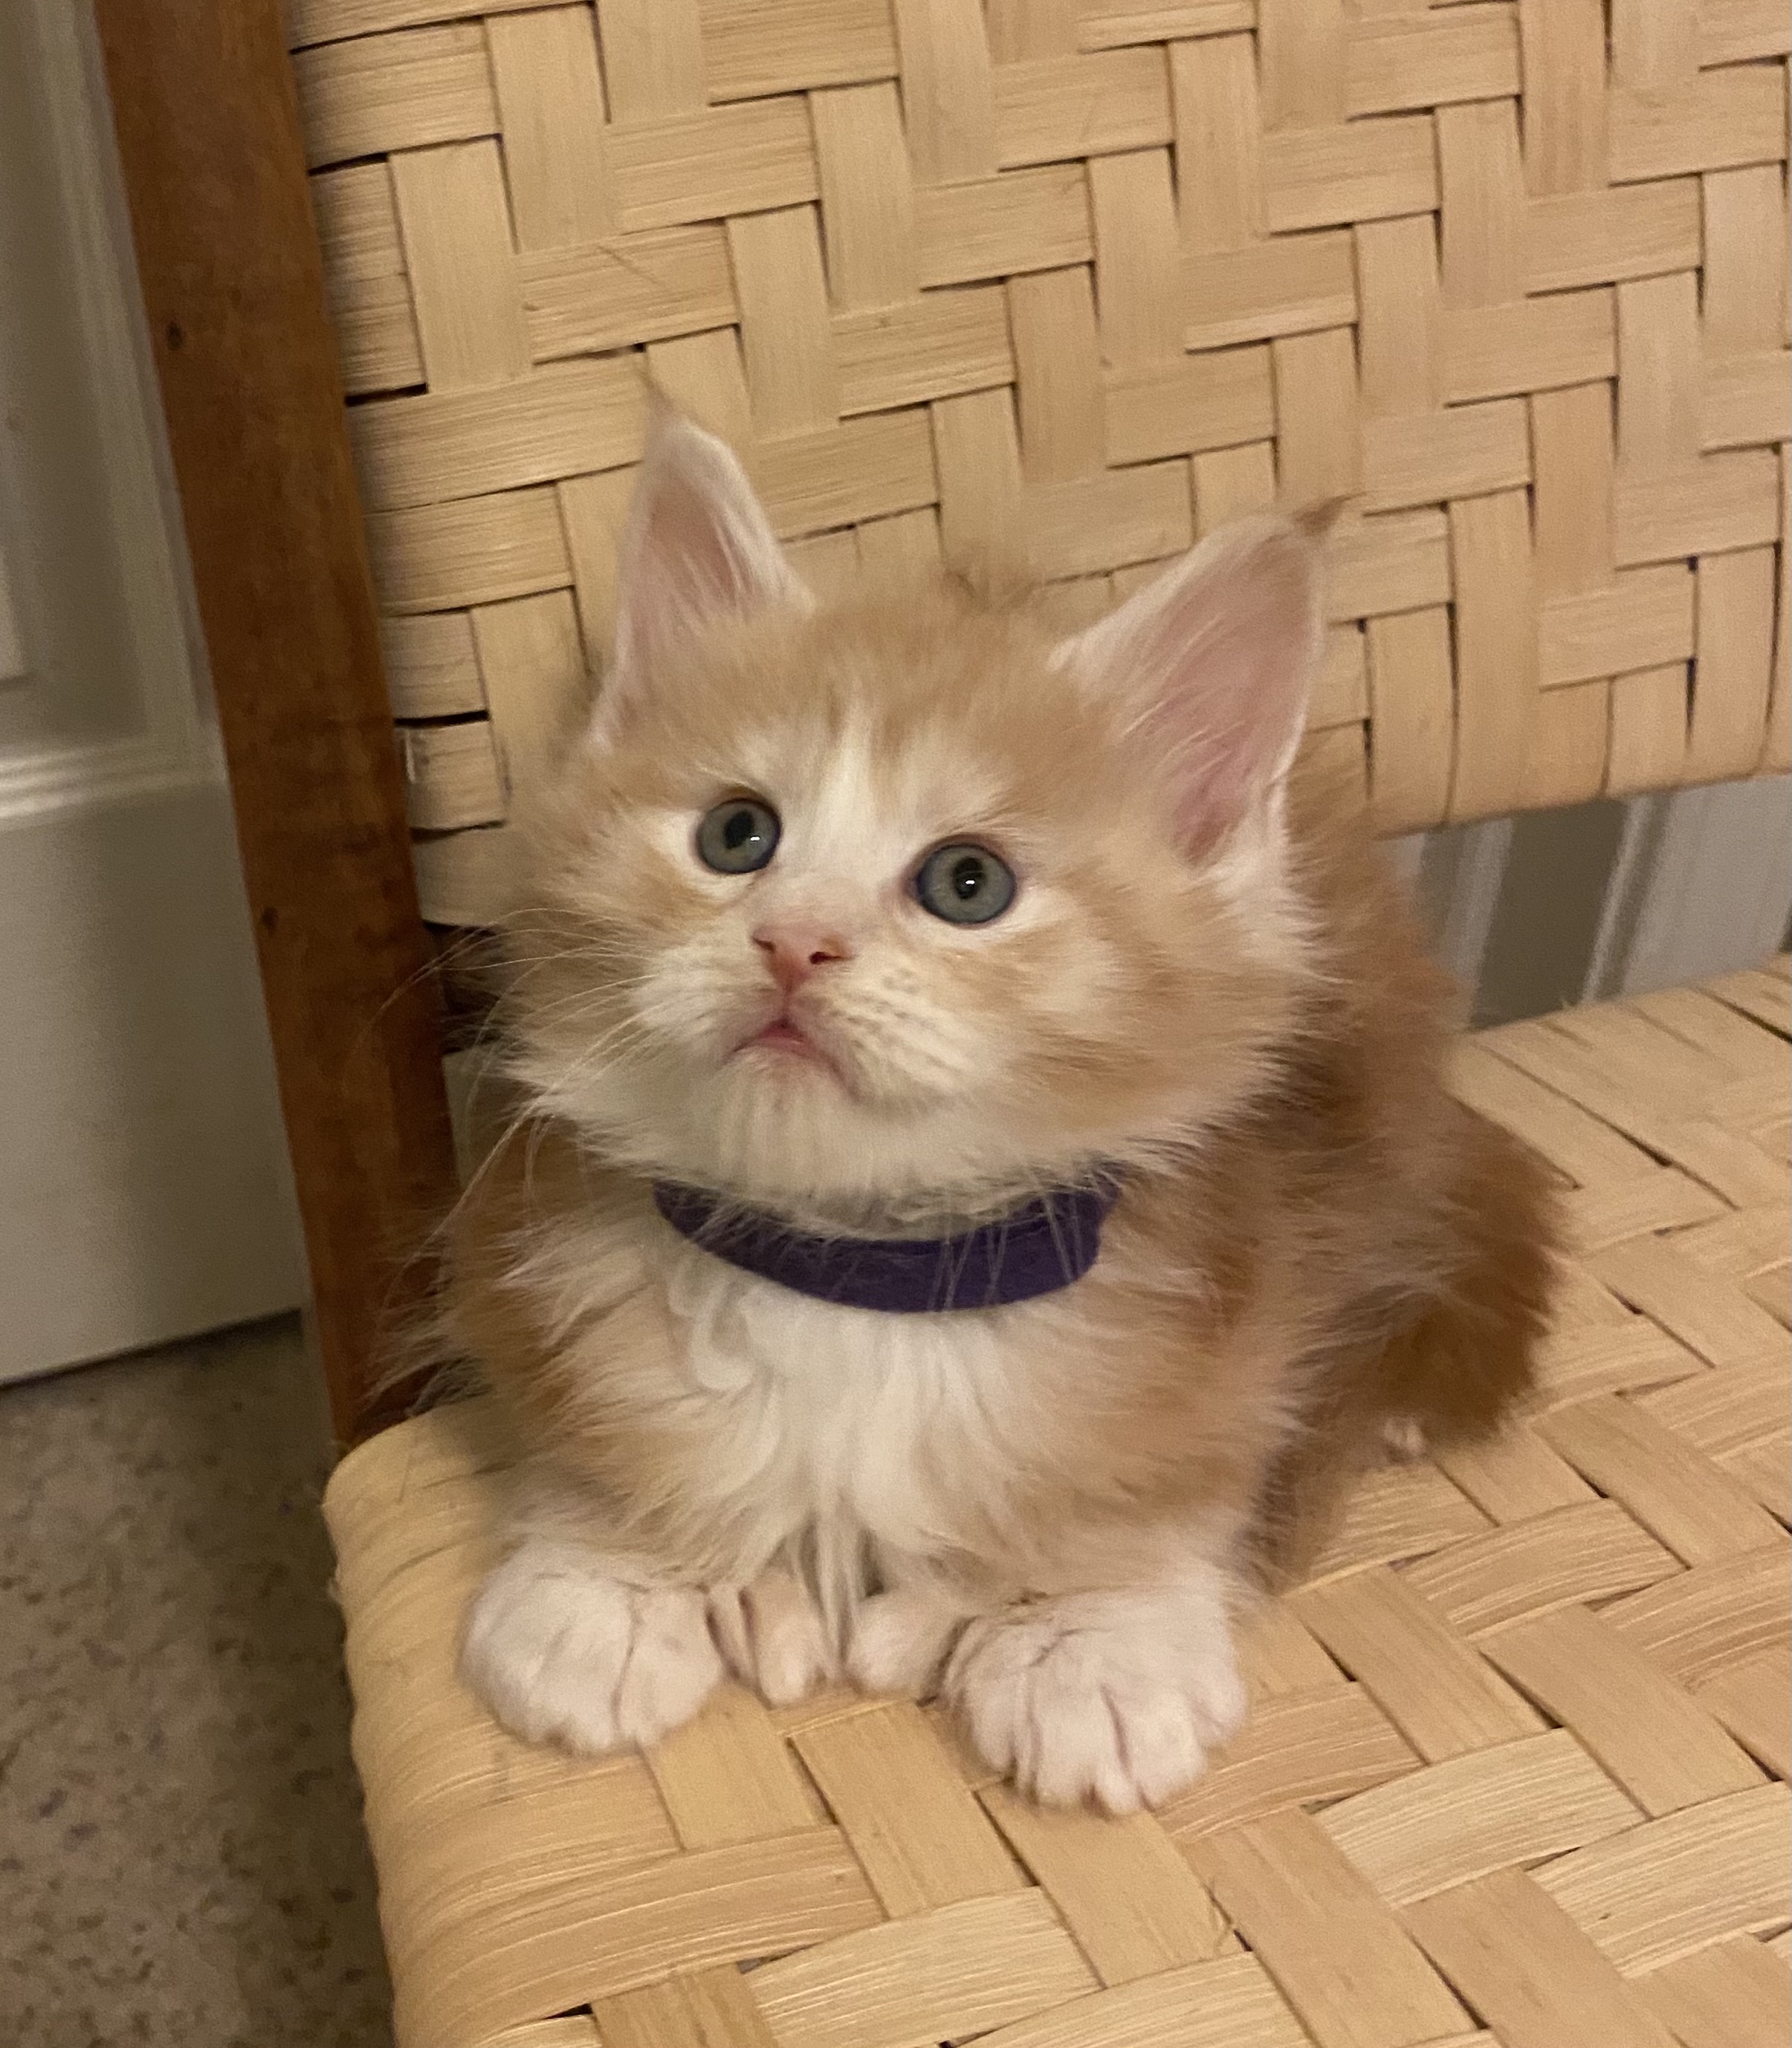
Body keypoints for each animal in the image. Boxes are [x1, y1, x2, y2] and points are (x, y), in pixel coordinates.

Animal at [448, 411, 1556, 1810]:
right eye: (737, 835)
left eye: (966, 884)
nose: (792, 941)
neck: (859, 1275)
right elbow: (580, 1425)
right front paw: (610, 1582)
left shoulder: (1241, 1283)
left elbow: (1177, 1478)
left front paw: (1093, 1642)